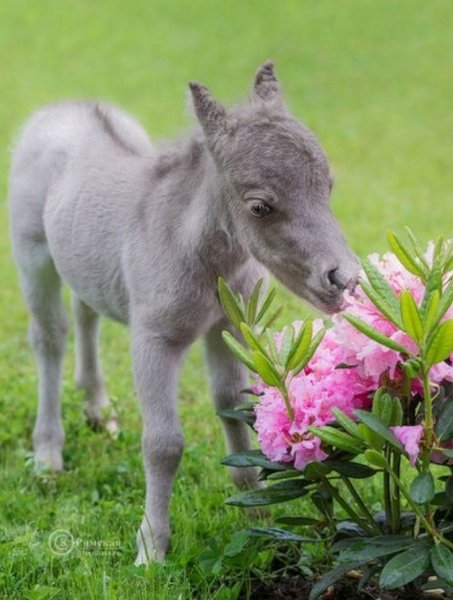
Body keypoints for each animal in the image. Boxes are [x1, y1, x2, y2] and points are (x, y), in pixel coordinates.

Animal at [7, 61, 356, 564]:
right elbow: (163, 444)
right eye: (259, 206)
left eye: (327, 186)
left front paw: (257, 514)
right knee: (49, 338)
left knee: (86, 310)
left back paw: (97, 408)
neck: (204, 257)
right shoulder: (154, 339)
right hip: (32, 253)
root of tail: (61, 107)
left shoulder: (230, 326)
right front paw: (151, 548)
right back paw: (48, 454)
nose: (344, 278)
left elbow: (234, 408)